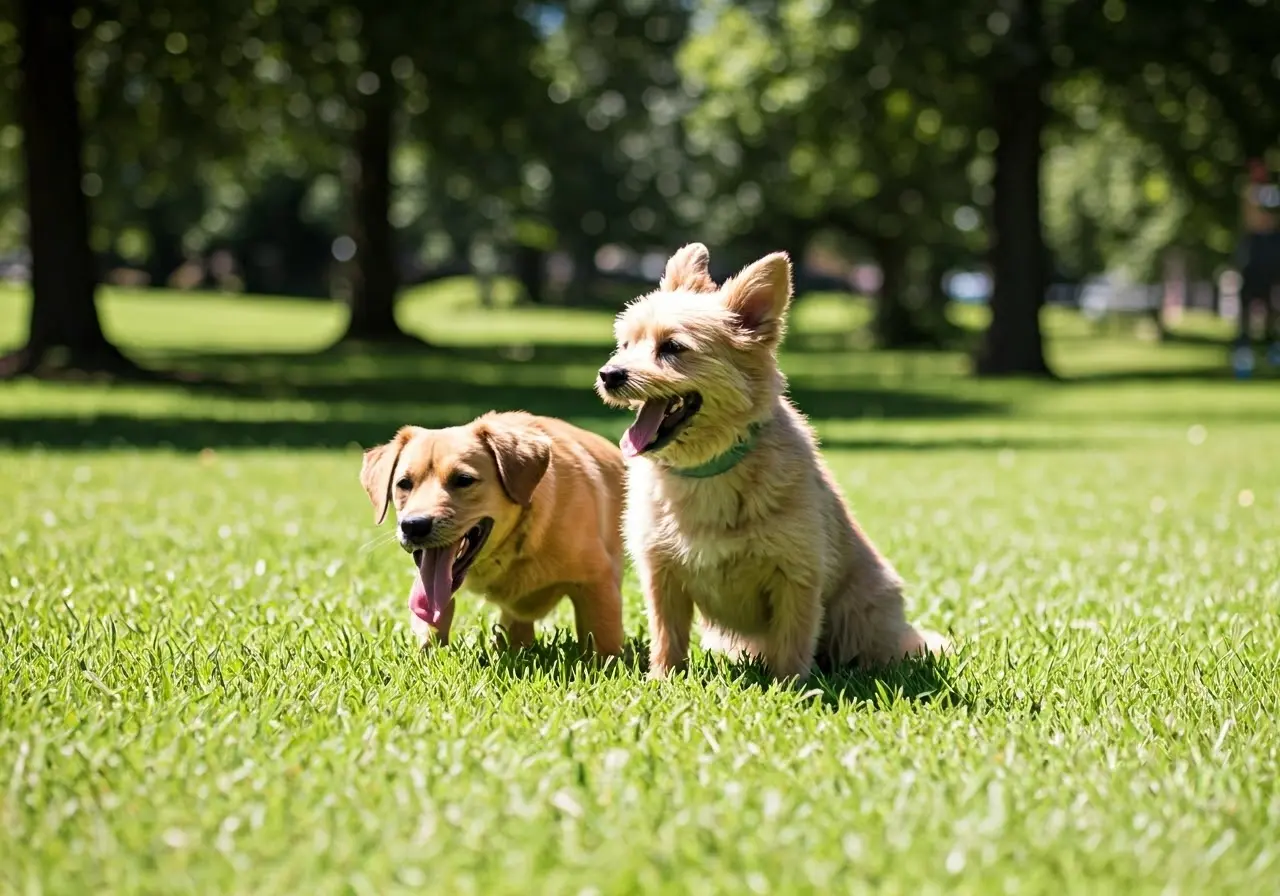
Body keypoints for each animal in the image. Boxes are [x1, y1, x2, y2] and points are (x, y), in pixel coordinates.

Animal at [360, 409, 624, 655]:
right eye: (403, 484)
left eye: (463, 479)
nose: (414, 525)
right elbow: (433, 620)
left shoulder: (598, 582)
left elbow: (604, 640)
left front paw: (604, 666)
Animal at [593, 241, 947, 680]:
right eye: (625, 344)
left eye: (672, 347)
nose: (609, 374)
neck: (707, 470)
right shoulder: (662, 574)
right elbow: (666, 638)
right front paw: (662, 681)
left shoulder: (797, 575)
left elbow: (793, 641)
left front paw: (791, 687)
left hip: (858, 618)